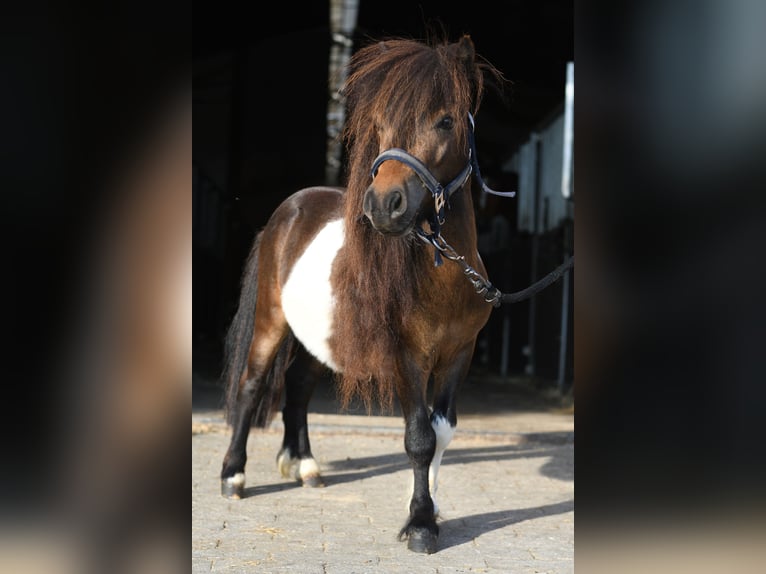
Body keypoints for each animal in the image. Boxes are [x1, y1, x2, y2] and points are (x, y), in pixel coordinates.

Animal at [220, 35, 508, 554]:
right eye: (381, 124)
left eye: (446, 120)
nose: (383, 205)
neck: (445, 276)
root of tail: (289, 209)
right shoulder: (405, 356)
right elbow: (418, 437)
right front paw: (420, 525)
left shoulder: (459, 353)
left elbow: (442, 432)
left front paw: (432, 510)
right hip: (271, 321)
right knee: (251, 385)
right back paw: (233, 476)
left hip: (318, 338)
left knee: (298, 388)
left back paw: (305, 467)